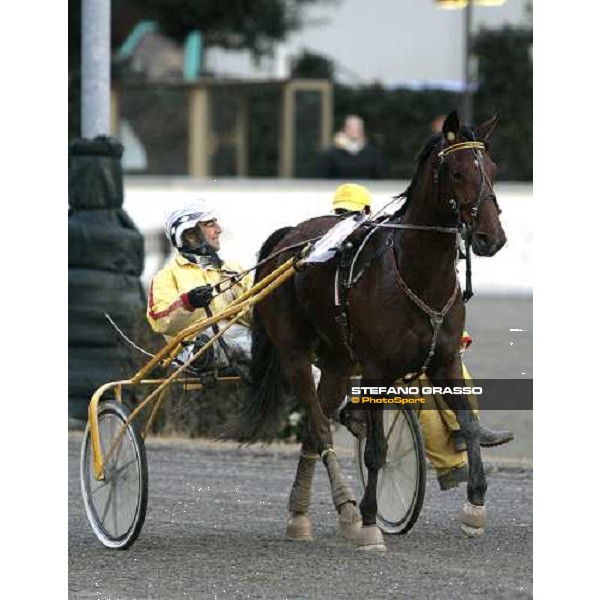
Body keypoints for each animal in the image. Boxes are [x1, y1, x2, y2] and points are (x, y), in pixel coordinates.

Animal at [234, 110, 506, 552]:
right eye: (459, 172)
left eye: (494, 170)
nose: (491, 237)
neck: (416, 275)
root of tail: (290, 237)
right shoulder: (377, 370)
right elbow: (377, 450)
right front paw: (369, 522)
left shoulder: (446, 360)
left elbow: (467, 424)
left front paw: (475, 509)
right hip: (295, 354)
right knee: (319, 427)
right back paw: (341, 511)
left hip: (338, 363)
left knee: (314, 431)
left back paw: (303, 514)